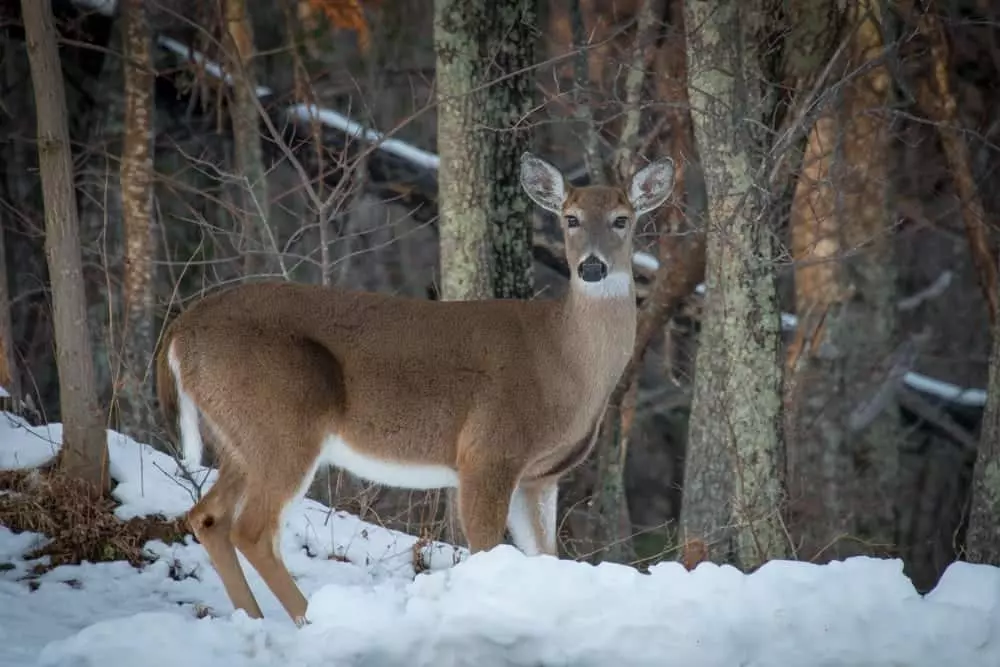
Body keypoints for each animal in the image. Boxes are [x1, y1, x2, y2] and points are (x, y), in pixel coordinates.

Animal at [154, 150, 672, 628]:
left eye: (622, 219)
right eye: (570, 218)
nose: (592, 267)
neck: (563, 363)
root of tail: (180, 329)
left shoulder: (540, 475)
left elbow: (545, 556)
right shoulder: (487, 452)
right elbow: (485, 550)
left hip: (241, 438)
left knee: (207, 517)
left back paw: (254, 619)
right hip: (283, 419)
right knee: (253, 530)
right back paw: (311, 620)